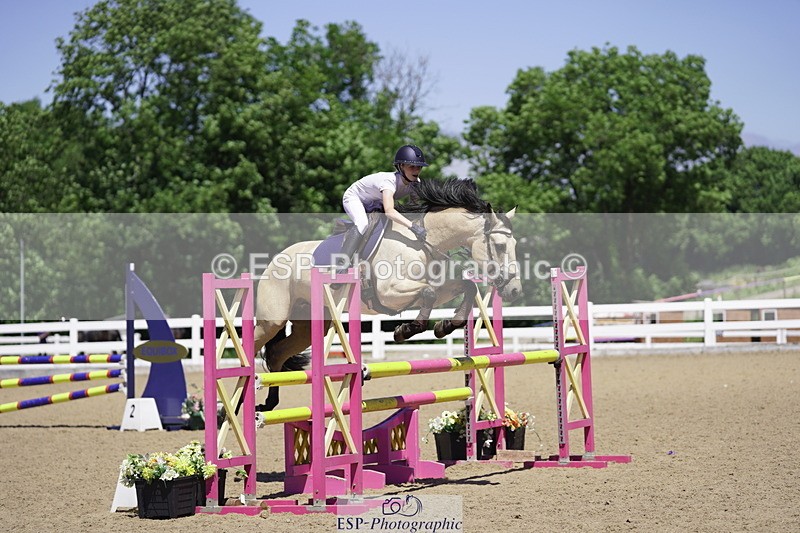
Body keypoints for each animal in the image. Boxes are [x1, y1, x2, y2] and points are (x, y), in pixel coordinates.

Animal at [253, 178, 522, 410]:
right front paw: (406, 330)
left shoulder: (439, 287)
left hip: (310, 325)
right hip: (272, 321)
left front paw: (445, 326)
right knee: (257, 345)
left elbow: (466, 287)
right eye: (500, 246)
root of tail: (274, 259)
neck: (422, 242)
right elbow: (427, 293)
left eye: (515, 246)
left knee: (276, 354)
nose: (514, 290)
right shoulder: (389, 292)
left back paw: (269, 404)